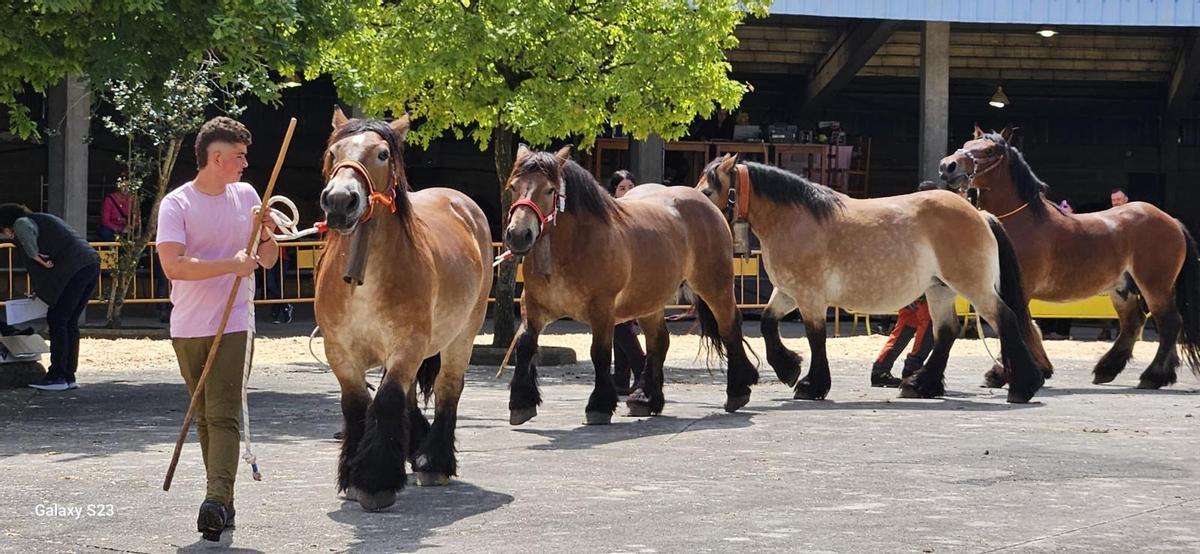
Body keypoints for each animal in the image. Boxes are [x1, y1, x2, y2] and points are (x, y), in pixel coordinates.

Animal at [315, 107, 493, 511]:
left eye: (382, 154)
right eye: (334, 152)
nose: (340, 201)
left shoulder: (407, 345)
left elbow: (387, 401)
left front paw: (375, 481)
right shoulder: (339, 351)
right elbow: (356, 405)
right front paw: (353, 476)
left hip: (463, 335)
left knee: (448, 389)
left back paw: (433, 463)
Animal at [503, 145, 759, 425]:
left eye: (549, 189)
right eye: (513, 186)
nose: (518, 235)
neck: (573, 245)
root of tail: (704, 202)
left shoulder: (602, 309)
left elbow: (600, 353)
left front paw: (599, 405)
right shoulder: (533, 305)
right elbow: (524, 345)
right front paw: (521, 403)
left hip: (715, 286)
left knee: (729, 328)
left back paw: (737, 392)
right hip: (649, 300)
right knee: (659, 341)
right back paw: (645, 399)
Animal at [697, 155, 1047, 403]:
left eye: (708, 190)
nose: (698, 211)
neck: (795, 219)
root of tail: (979, 215)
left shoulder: (810, 297)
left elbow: (815, 337)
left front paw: (811, 384)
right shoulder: (788, 292)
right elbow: (768, 323)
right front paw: (789, 369)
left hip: (973, 287)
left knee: (1006, 319)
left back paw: (1022, 387)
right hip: (940, 289)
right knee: (947, 331)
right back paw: (921, 384)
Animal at [940, 126, 1200, 389]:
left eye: (989, 150)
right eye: (966, 144)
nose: (948, 166)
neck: (1023, 221)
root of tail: (1172, 221)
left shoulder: (1019, 288)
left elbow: (1019, 325)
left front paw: (1002, 373)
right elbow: (1029, 327)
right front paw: (1041, 369)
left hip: (1155, 286)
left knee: (1169, 323)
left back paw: (1153, 376)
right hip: (1122, 288)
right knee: (1133, 322)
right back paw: (1109, 369)